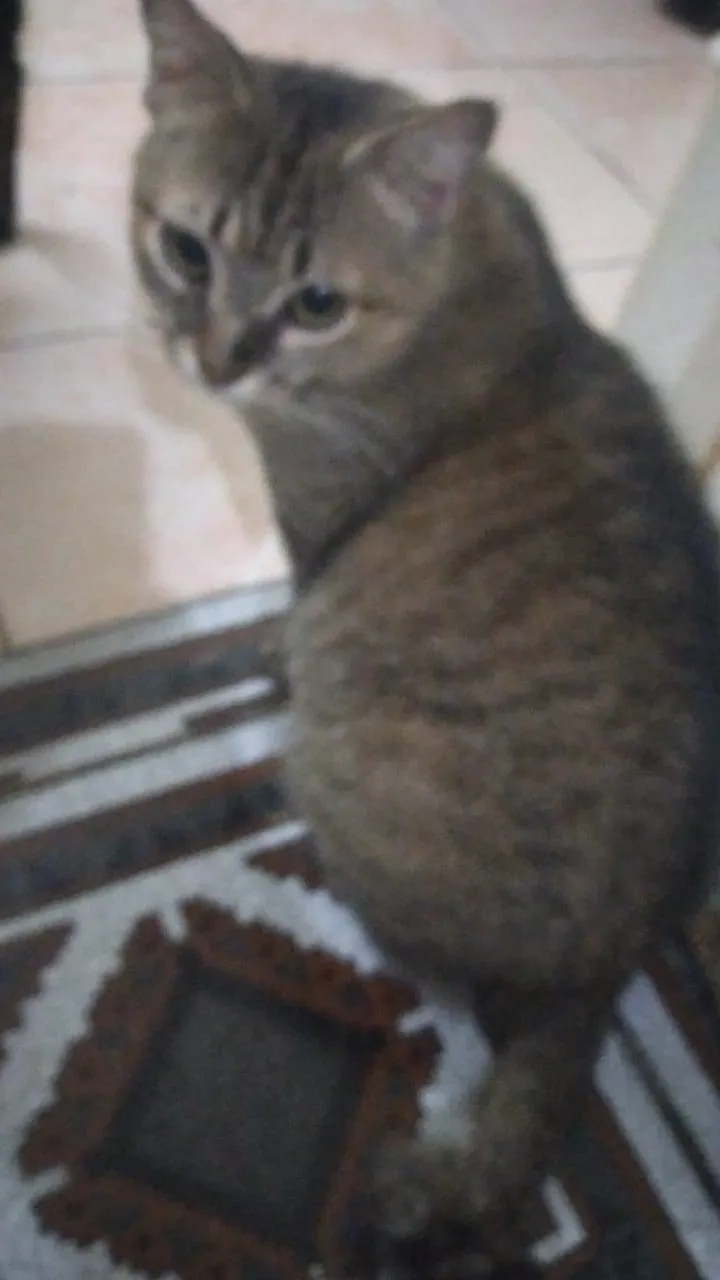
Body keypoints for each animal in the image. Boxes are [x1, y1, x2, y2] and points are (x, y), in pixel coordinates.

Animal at [134, 0, 720, 1272]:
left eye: (315, 302)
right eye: (188, 250)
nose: (219, 360)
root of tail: (609, 971)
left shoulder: (314, 527)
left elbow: (297, 602)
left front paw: (275, 653)